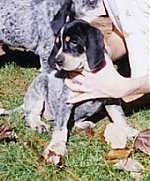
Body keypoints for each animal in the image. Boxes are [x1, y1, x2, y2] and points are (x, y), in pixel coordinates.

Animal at [23, 19, 137, 165]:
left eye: (74, 41)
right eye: (58, 44)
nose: (57, 61)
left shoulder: (111, 96)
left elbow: (119, 117)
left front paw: (128, 130)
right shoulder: (65, 102)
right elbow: (61, 128)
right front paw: (56, 147)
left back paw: (84, 124)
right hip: (39, 89)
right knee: (31, 114)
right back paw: (38, 125)